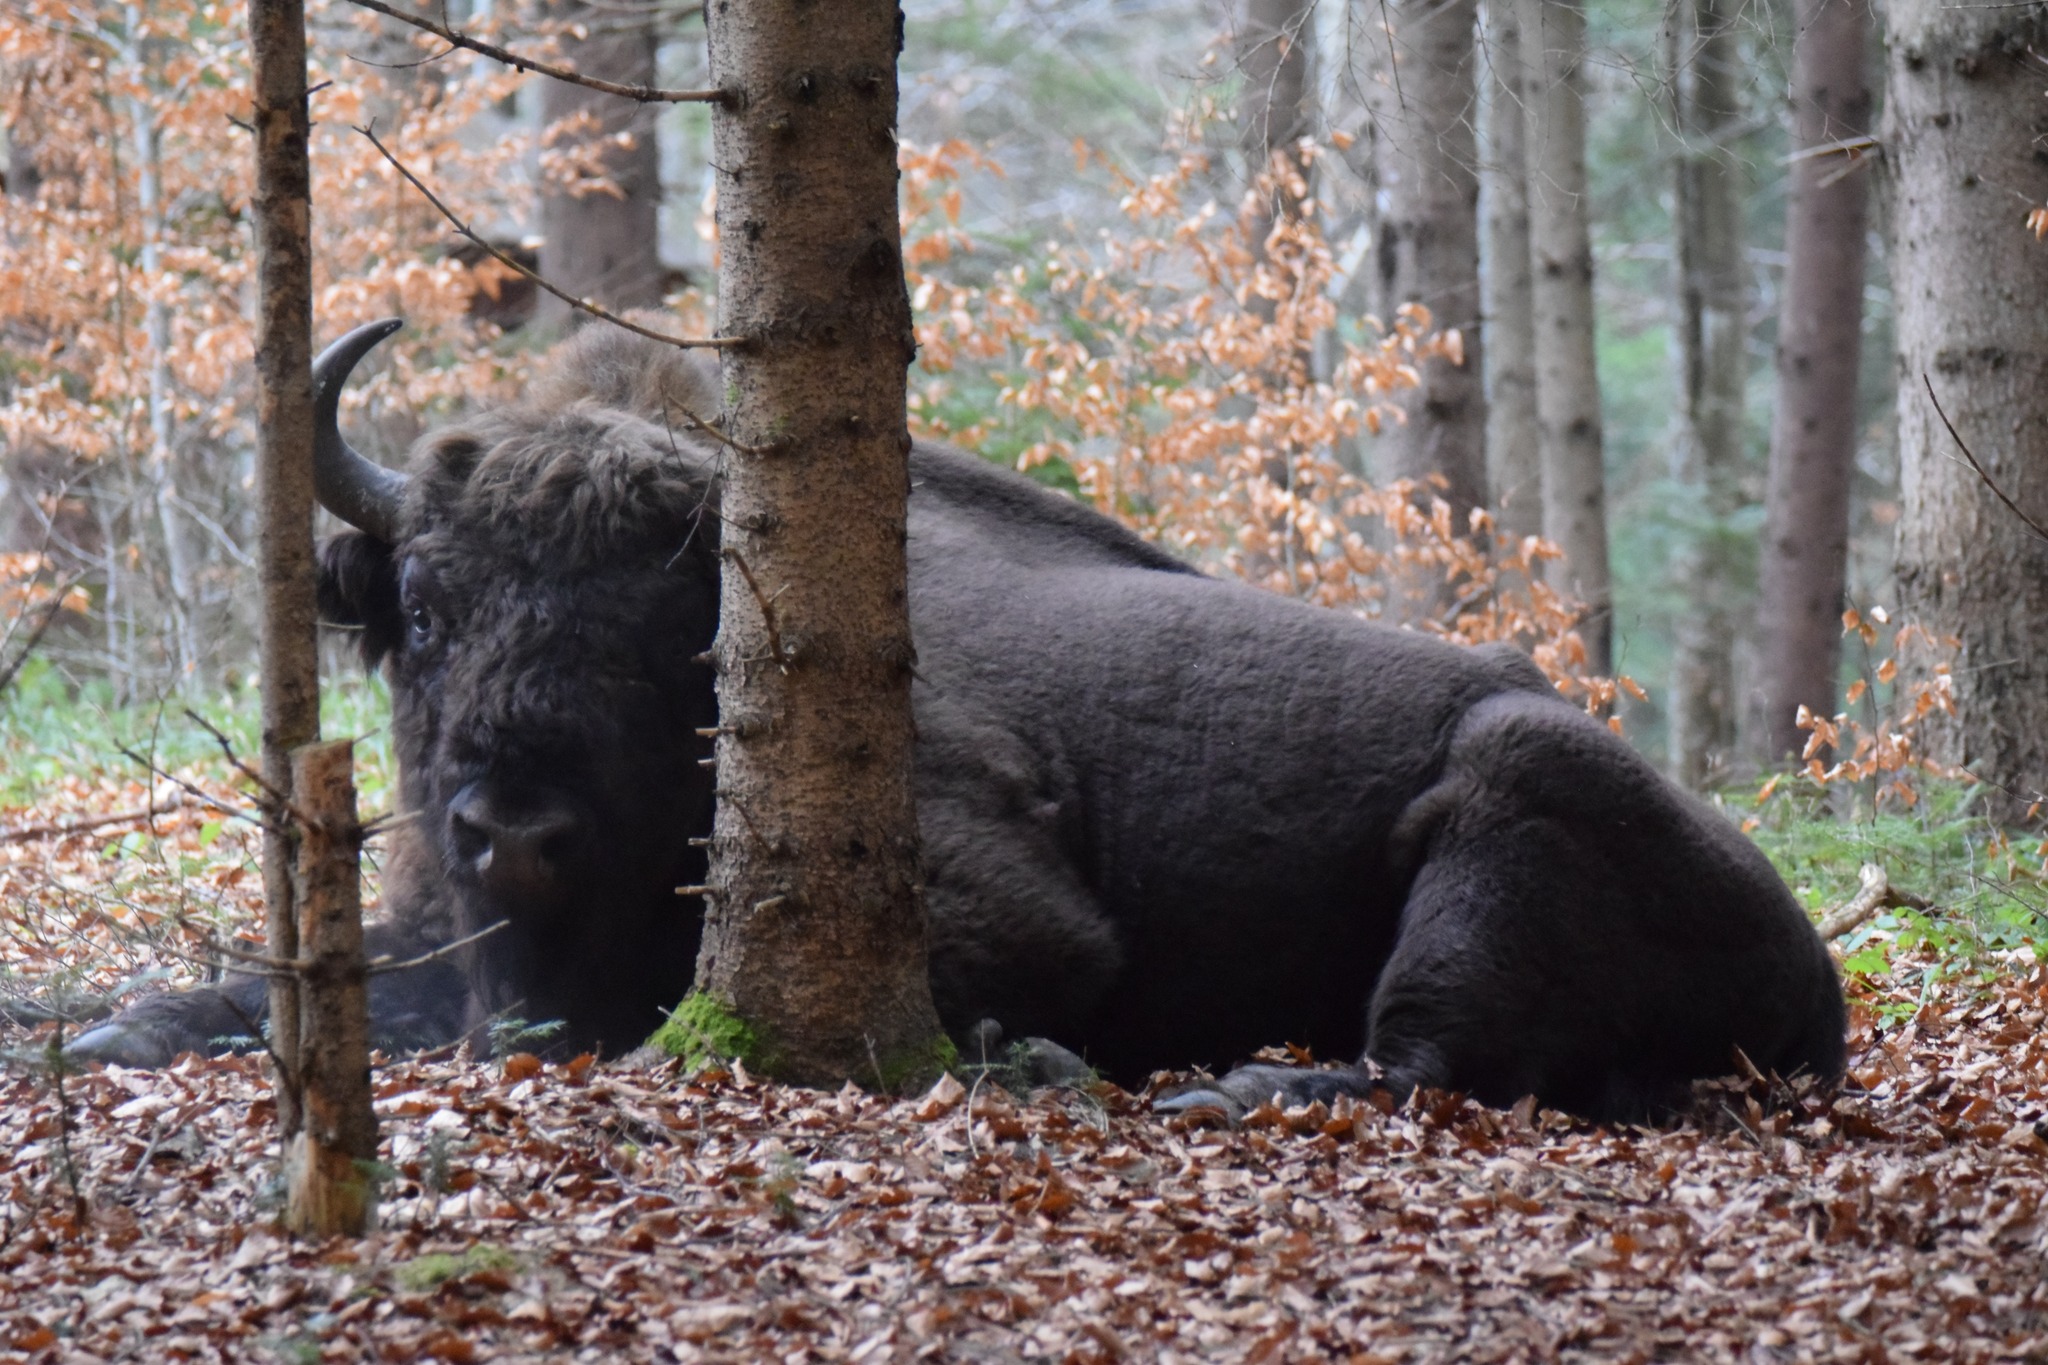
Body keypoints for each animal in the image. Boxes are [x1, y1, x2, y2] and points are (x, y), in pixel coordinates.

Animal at [72, 321, 1851, 1121]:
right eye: (427, 610)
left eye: (661, 637)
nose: (510, 826)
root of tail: (1818, 976)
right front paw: (96, 1025)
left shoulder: (1004, 898)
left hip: (1506, 794)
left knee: (1415, 1060)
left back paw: (1181, 1086)